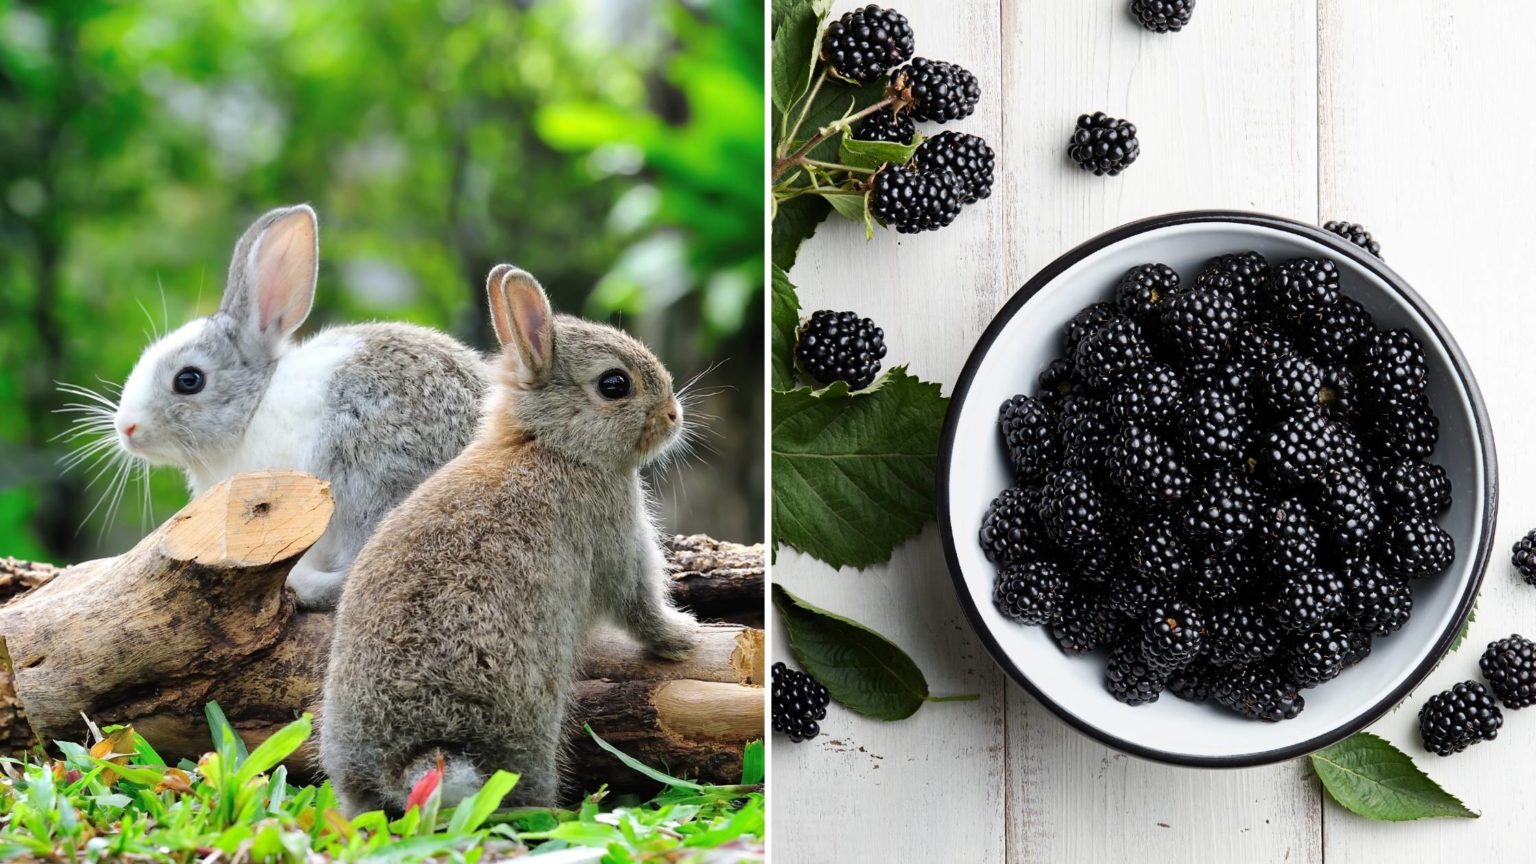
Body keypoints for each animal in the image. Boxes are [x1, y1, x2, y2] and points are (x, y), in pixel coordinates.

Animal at [318, 263, 701, 816]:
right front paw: (684, 637)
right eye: (615, 384)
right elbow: (640, 607)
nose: (673, 415)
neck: (550, 445)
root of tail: (410, 760)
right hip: (528, 726)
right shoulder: (617, 541)